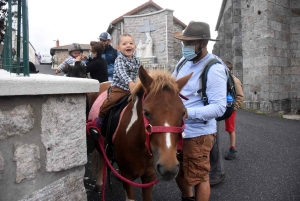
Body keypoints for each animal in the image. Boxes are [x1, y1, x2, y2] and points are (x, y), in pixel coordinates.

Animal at [89, 66, 192, 200]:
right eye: (146, 112)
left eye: (183, 113)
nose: (168, 168)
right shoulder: (127, 176)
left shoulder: (149, 176)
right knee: (101, 156)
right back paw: (99, 182)